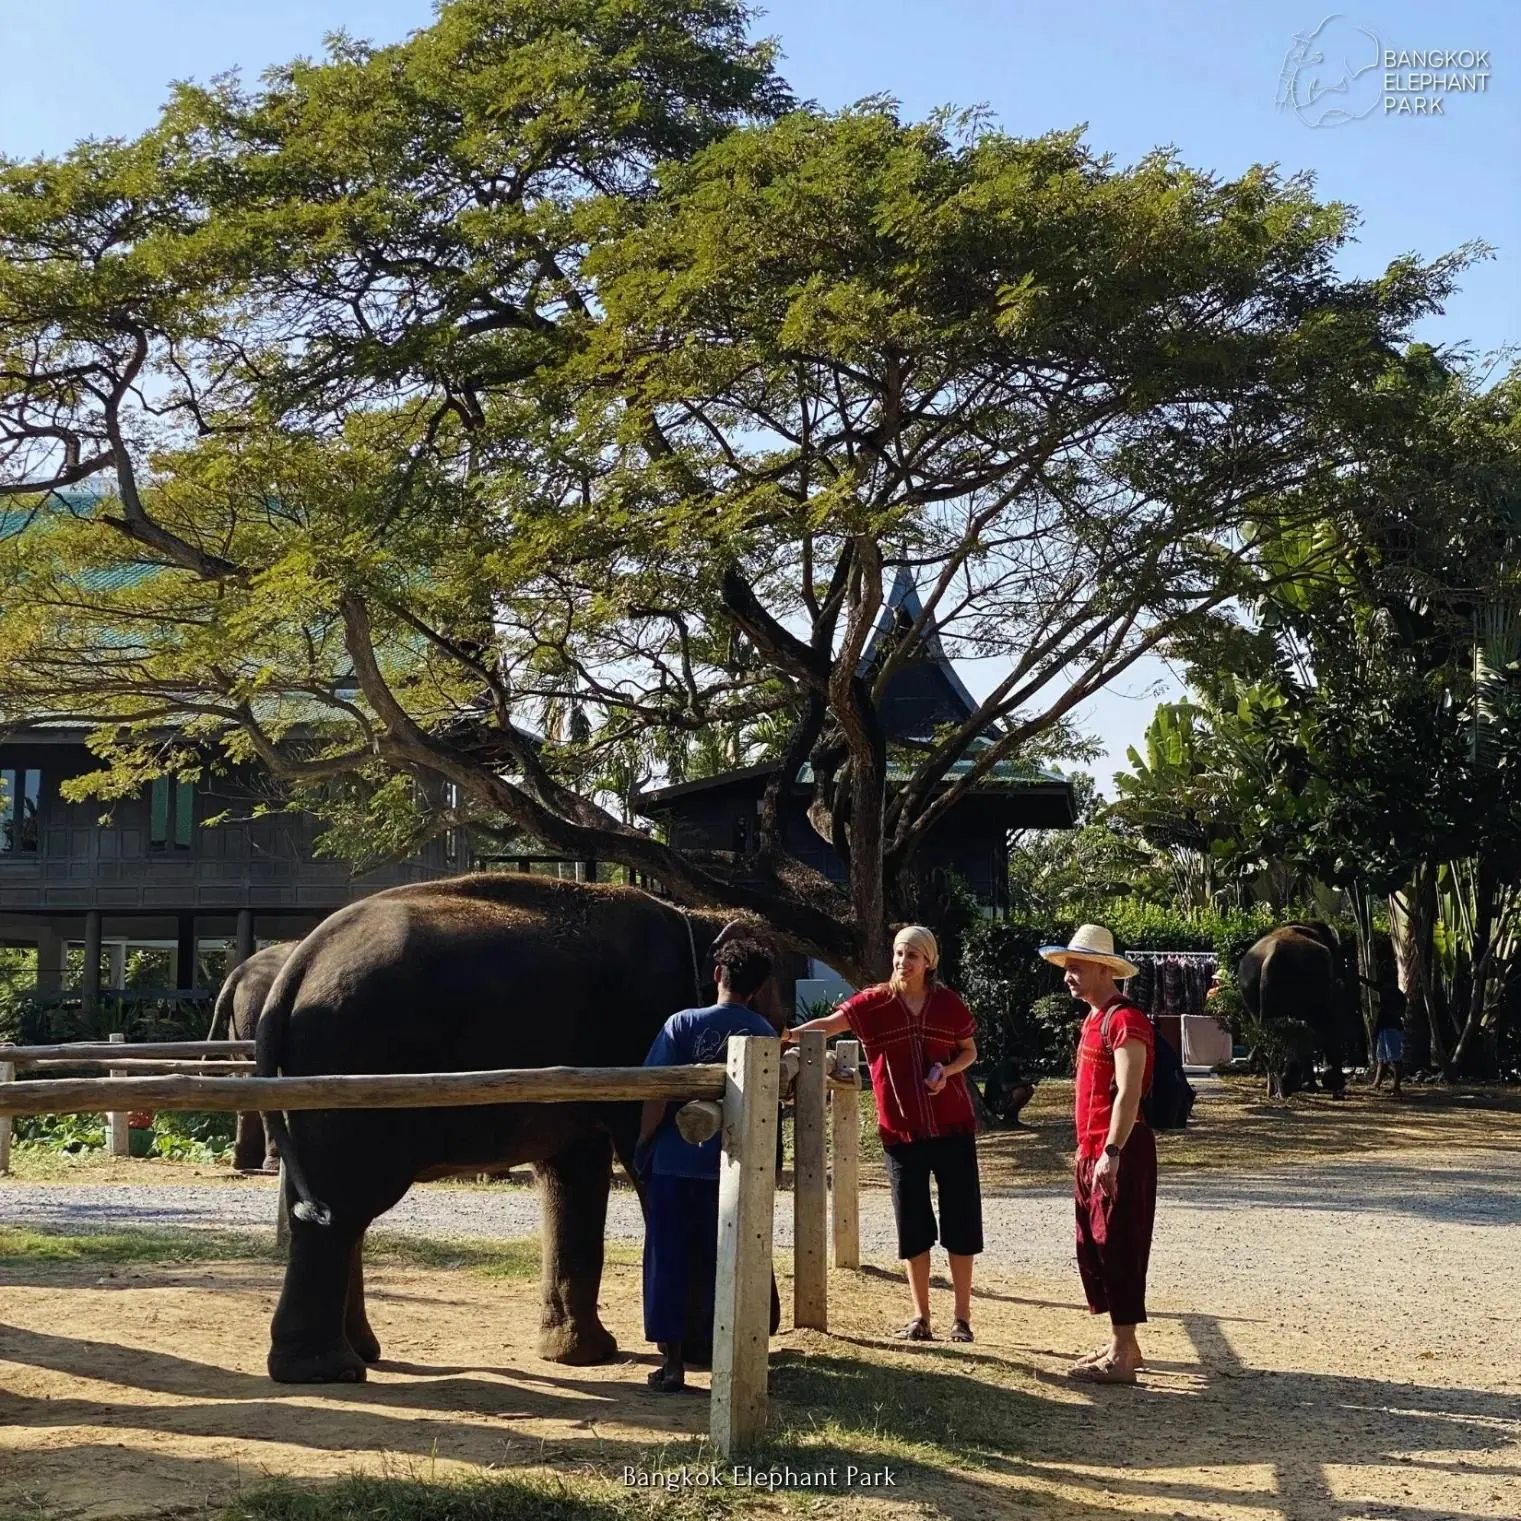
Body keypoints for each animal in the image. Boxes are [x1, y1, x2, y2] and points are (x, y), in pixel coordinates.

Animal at [257, 872, 778, 1385]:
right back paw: (329, 1370)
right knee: (345, 1205)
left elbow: (573, 1172)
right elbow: (643, 1152)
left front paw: (577, 1356)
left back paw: (359, 1355)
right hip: (352, 1069)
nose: (771, 1325)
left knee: (329, 1204)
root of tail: (298, 965)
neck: (692, 917)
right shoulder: (643, 1031)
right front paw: (699, 1352)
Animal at [1237, 922, 1349, 1100]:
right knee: (1303, 1030)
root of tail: (1271, 957)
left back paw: (1277, 1088)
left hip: (1250, 988)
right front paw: (1331, 1084)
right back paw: (1290, 1085)